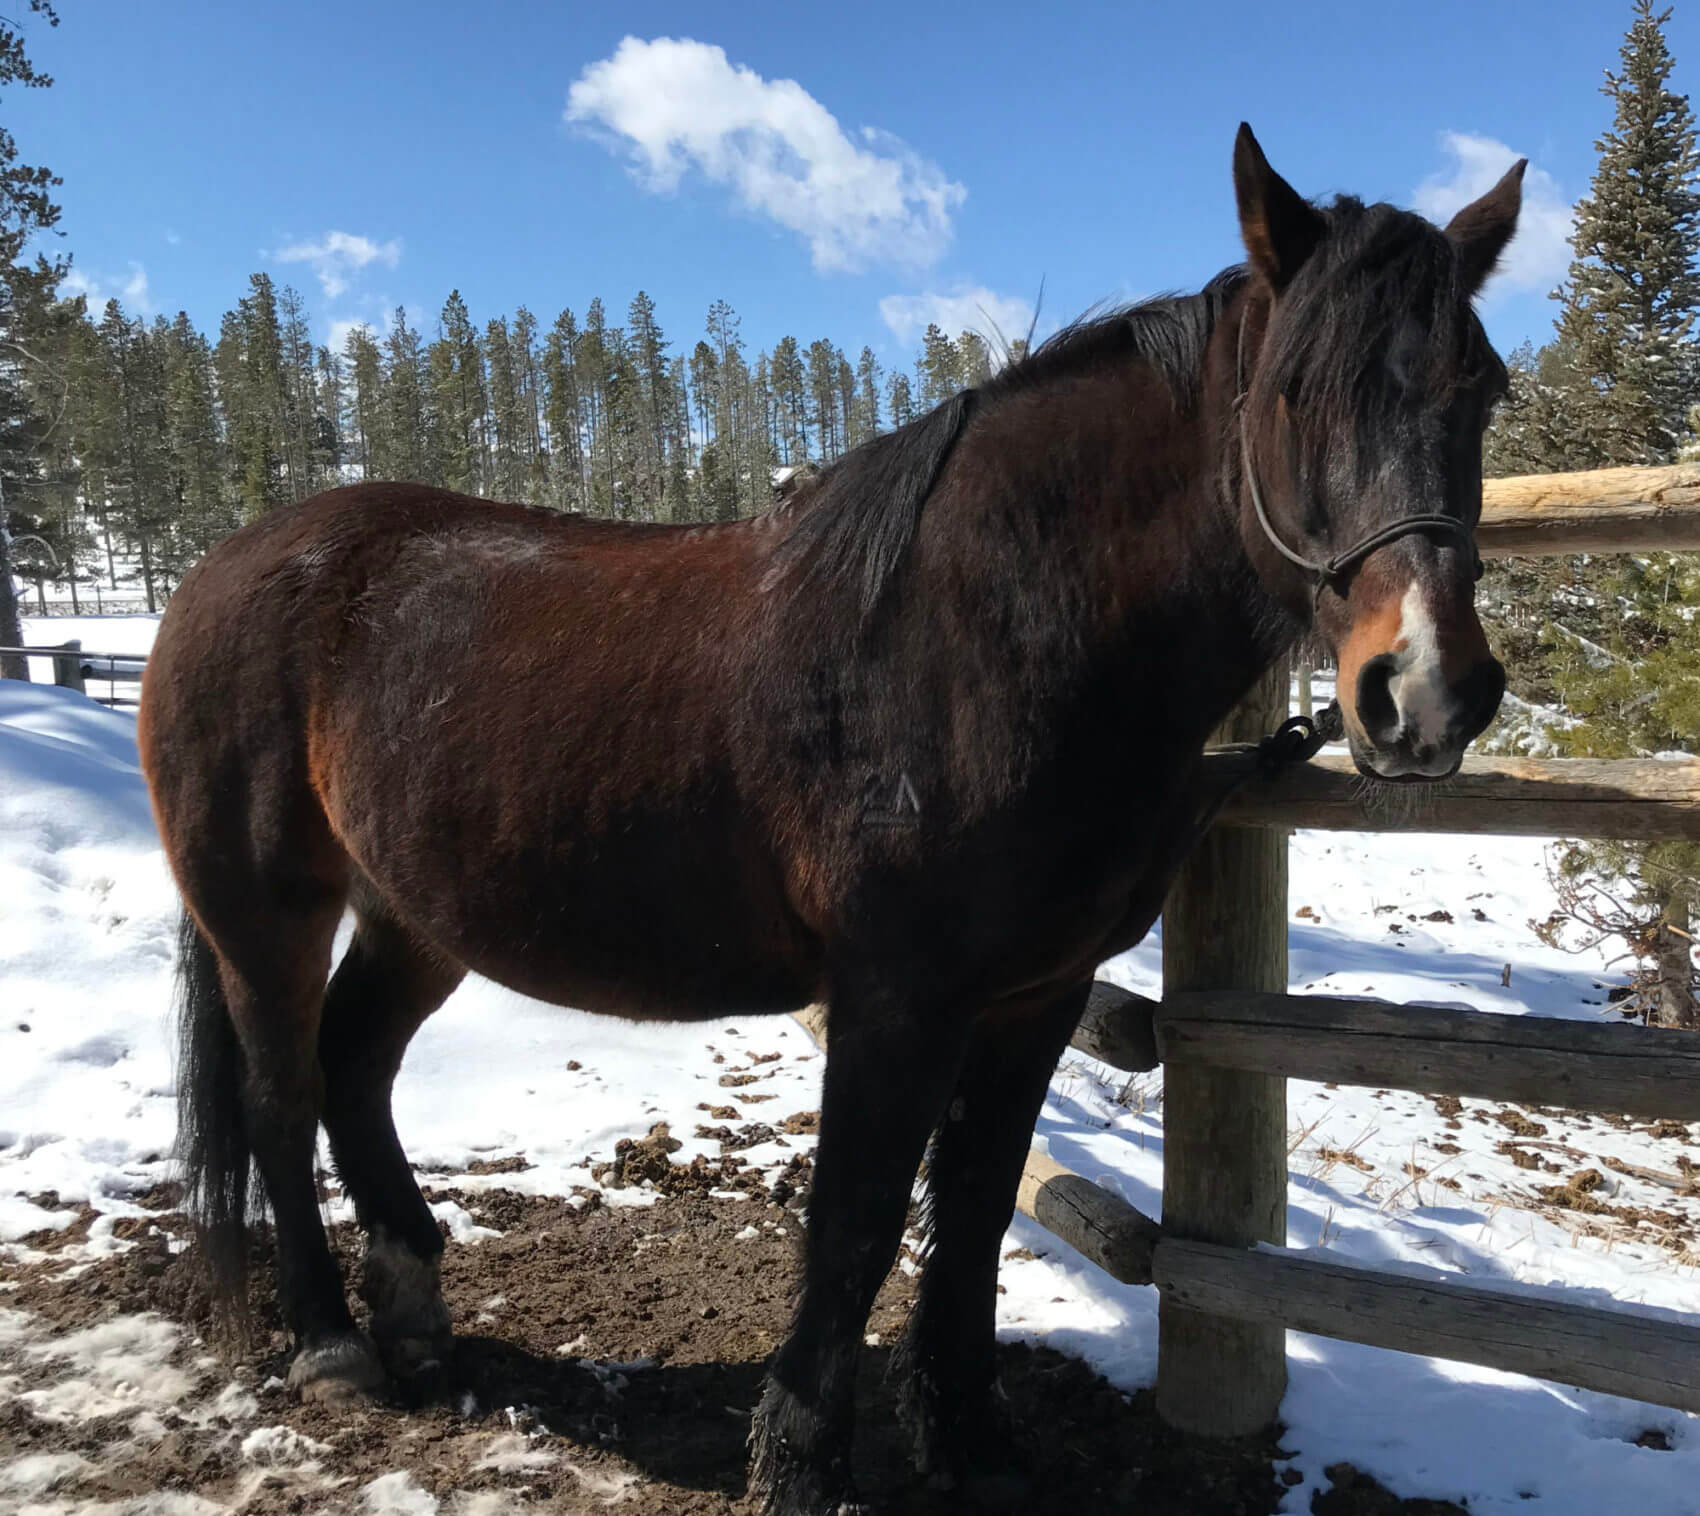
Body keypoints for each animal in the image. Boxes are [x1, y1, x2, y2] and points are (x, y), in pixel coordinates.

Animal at [139, 130, 1523, 1516]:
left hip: (416, 913)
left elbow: (971, 1209)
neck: (999, 632)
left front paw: (968, 1438)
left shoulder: (1037, 993)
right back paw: (329, 1343)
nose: (1424, 691)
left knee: (354, 1063)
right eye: (1291, 391)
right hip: (262, 910)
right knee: (278, 1090)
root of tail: (219, 572)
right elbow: (854, 1223)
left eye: (1483, 385)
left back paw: (415, 1307)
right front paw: (802, 1459)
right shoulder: (893, 997)